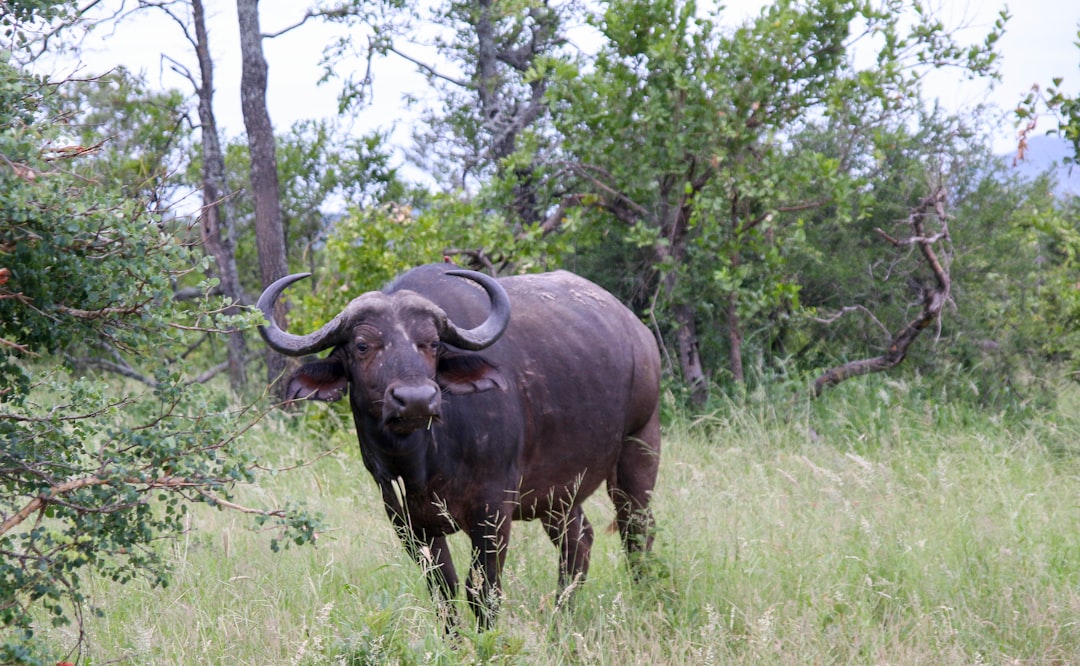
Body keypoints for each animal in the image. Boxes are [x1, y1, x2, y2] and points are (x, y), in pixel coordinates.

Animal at [254, 262, 656, 626]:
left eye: (432, 343)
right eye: (362, 345)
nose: (415, 400)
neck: (423, 461)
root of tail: (637, 330)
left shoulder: (493, 512)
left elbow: (482, 590)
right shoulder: (408, 522)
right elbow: (442, 591)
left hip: (639, 447)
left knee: (637, 531)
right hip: (560, 494)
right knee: (579, 542)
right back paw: (561, 618)